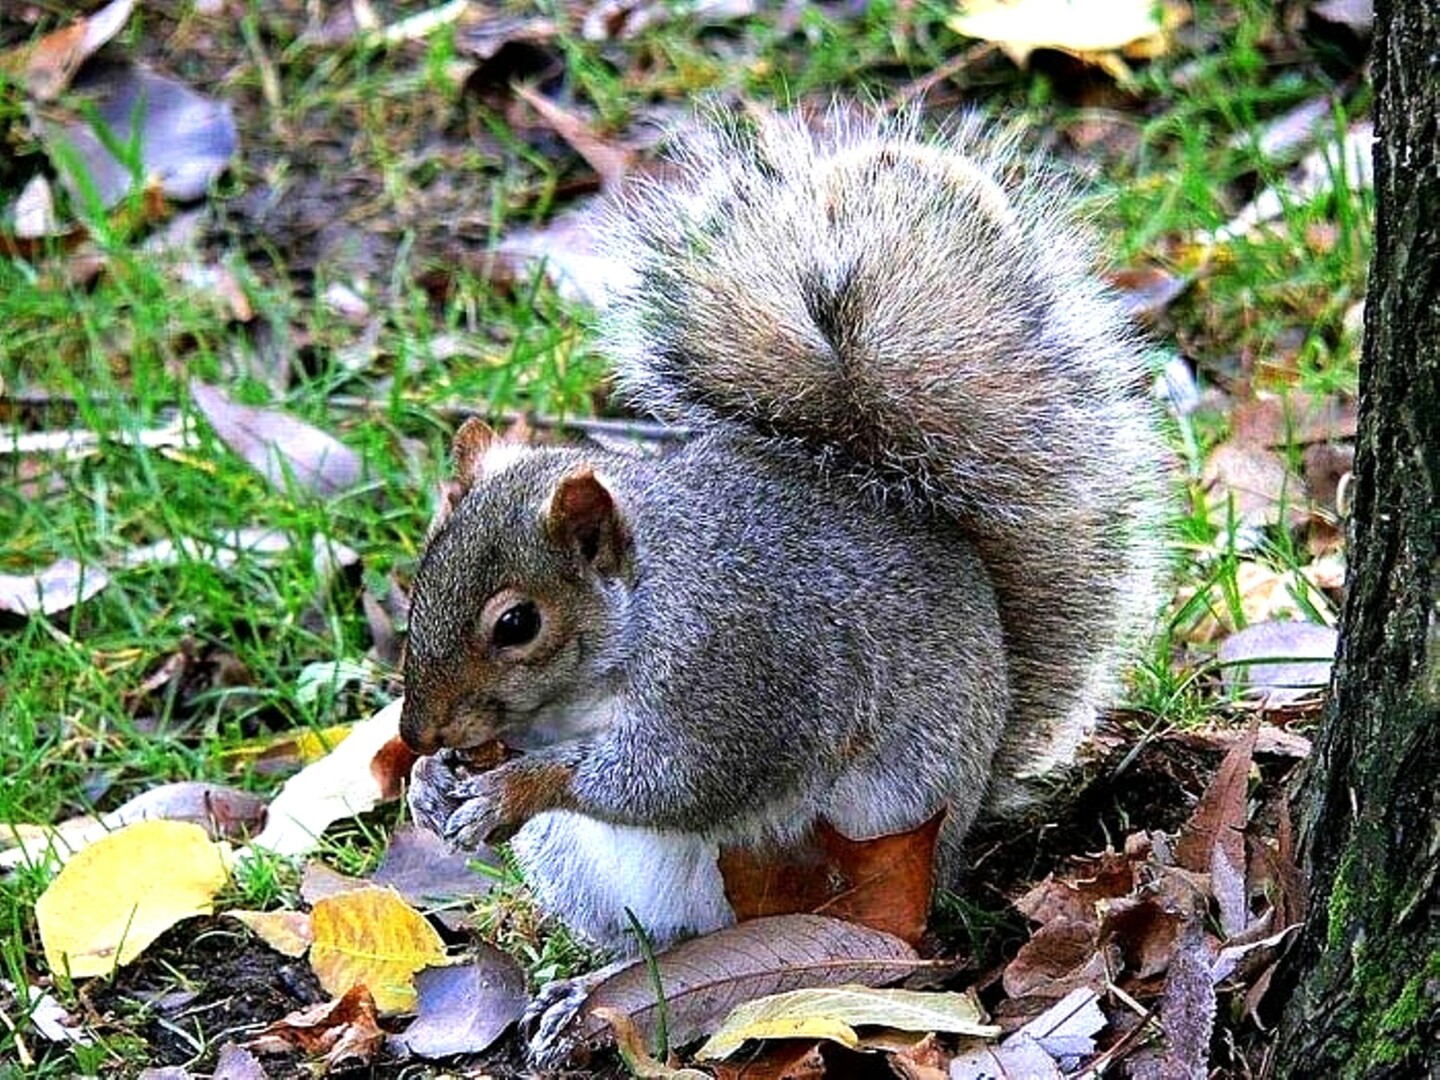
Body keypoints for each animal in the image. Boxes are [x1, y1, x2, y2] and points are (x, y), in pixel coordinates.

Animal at [394, 108, 1169, 956]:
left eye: (517, 624)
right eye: (421, 581)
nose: (417, 733)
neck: (644, 606)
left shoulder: (736, 673)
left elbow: (675, 782)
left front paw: (512, 787)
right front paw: (430, 786)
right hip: (580, 871)